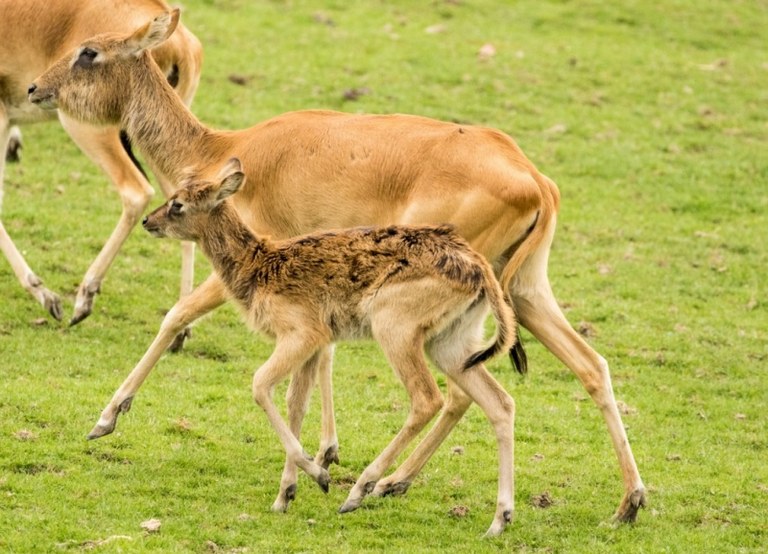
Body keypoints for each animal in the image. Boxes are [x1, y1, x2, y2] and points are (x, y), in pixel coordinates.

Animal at [0, 0, 202, 324]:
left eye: (89, 53)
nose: (32, 88)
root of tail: (181, 41)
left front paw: (46, 295)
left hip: (90, 131)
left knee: (136, 191)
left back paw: (84, 297)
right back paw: (183, 327)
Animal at [142, 156, 520, 536]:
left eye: (178, 204)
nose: (148, 221)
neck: (259, 268)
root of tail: (479, 269)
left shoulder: (302, 332)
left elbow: (260, 384)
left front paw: (319, 476)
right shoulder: (315, 344)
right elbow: (295, 403)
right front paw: (285, 495)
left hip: (395, 327)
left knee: (427, 399)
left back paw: (360, 491)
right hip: (453, 343)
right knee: (499, 402)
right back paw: (499, 520)